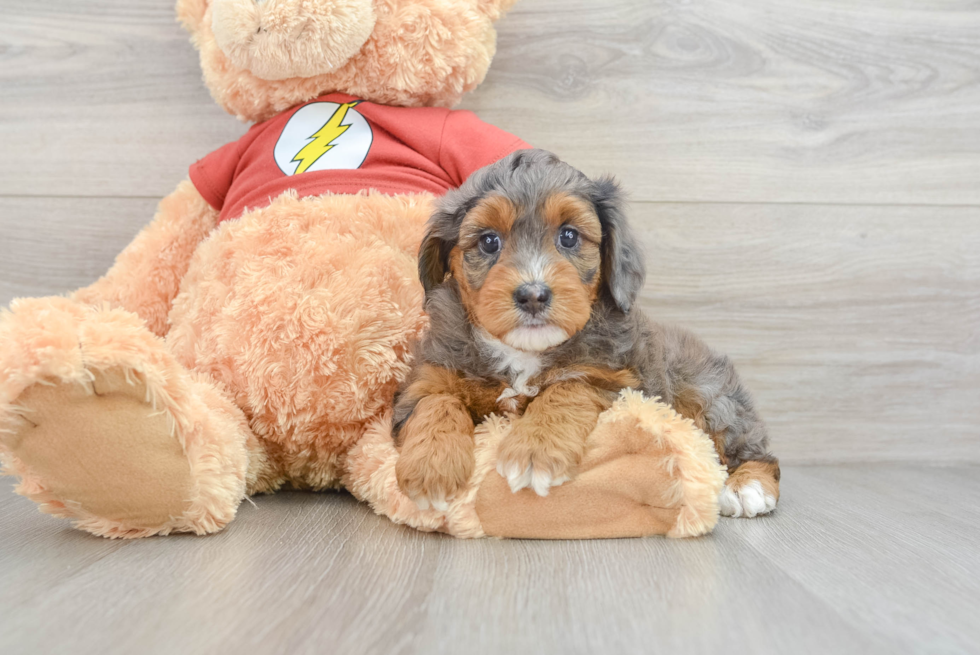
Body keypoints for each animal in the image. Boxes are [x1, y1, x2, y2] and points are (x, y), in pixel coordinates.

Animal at [390, 149, 780, 516]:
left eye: (569, 236)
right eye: (488, 242)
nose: (533, 295)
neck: (524, 352)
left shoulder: (618, 382)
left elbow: (567, 388)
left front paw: (536, 449)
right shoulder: (428, 376)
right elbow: (435, 402)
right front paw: (431, 466)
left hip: (709, 395)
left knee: (755, 450)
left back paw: (747, 487)